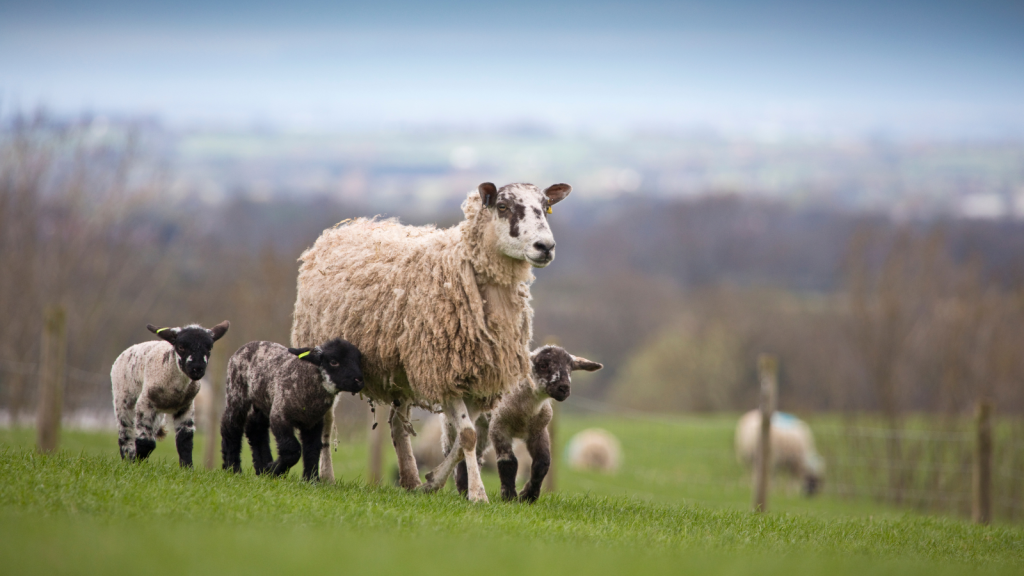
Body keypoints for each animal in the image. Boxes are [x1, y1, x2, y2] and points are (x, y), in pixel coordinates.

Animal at [111, 321, 230, 465]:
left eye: (209, 348)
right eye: (181, 347)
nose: (197, 369)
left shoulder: (186, 406)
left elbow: (185, 440)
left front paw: (187, 467)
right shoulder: (145, 403)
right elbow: (145, 441)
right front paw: (137, 465)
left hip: (157, 414)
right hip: (123, 400)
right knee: (126, 436)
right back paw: (129, 460)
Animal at [220, 339, 363, 480]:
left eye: (358, 360)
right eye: (333, 362)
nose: (359, 381)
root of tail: (249, 344)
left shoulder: (313, 422)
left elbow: (312, 448)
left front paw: (310, 479)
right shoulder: (280, 416)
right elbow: (292, 450)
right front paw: (273, 470)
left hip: (264, 399)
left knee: (254, 428)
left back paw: (261, 467)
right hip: (236, 391)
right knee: (231, 427)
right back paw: (233, 468)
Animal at [291, 182, 572, 502]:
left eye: (546, 206)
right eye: (503, 206)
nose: (545, 247)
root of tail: (344, 227)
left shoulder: (476, 381)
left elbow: (463, 439)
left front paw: (433, 482)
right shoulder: (443, 371)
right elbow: (468, 436)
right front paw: (477, 494)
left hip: (401, 370)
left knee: (397, 425)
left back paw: (411, 480)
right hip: (324, 357)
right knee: (327, 418)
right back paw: (326, 475)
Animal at [450, 345, 602, 502]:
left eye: (570, 368)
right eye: (543, 365)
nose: (564, 388)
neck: (526, 409)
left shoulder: (538, 431)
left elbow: (542, 462)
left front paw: (528, 496)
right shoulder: (499, 426)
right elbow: (508, 461)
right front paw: (509, 496)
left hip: (482, 426)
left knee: (474, 453)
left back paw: (467, 488)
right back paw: (463, 489)